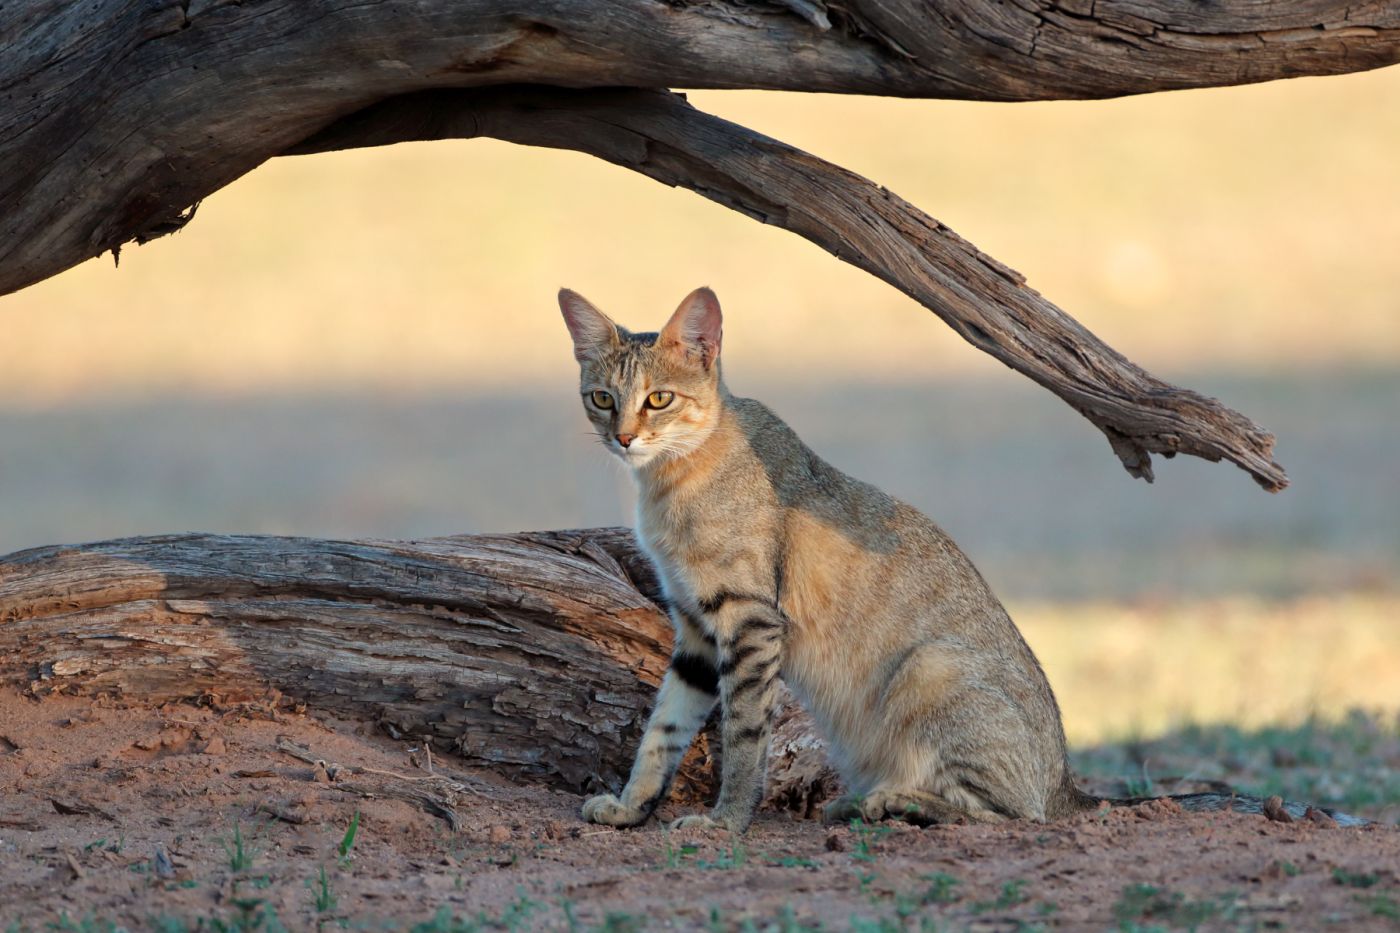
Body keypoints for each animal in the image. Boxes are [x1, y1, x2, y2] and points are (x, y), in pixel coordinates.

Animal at [560, 285, 1366, 829]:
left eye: (659, 399)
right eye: (601, 398)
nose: (623, 437)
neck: (669, 483)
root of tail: (1065, 782)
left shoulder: (748, 621)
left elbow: (744, 735)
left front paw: (726, 820)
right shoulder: (696, 629)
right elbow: (663, 730)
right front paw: (631, 807)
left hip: (930, 669)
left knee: (1009, 814)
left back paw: (890, 801)